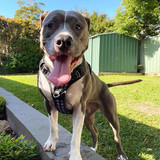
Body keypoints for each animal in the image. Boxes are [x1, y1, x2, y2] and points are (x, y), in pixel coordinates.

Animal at [37, 10, 141, 160]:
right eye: (50, 25)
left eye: (78, 26)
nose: (64, 41)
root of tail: (105, 85)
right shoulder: (49, 103)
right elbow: (53, 126)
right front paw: (51, 142)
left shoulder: (78, 108)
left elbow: (75, 137)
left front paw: (75, 155)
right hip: (88, 116)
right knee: (95, 131)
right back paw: (94, 148)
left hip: (110, 114)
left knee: (116, 135)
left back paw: (121, 154)